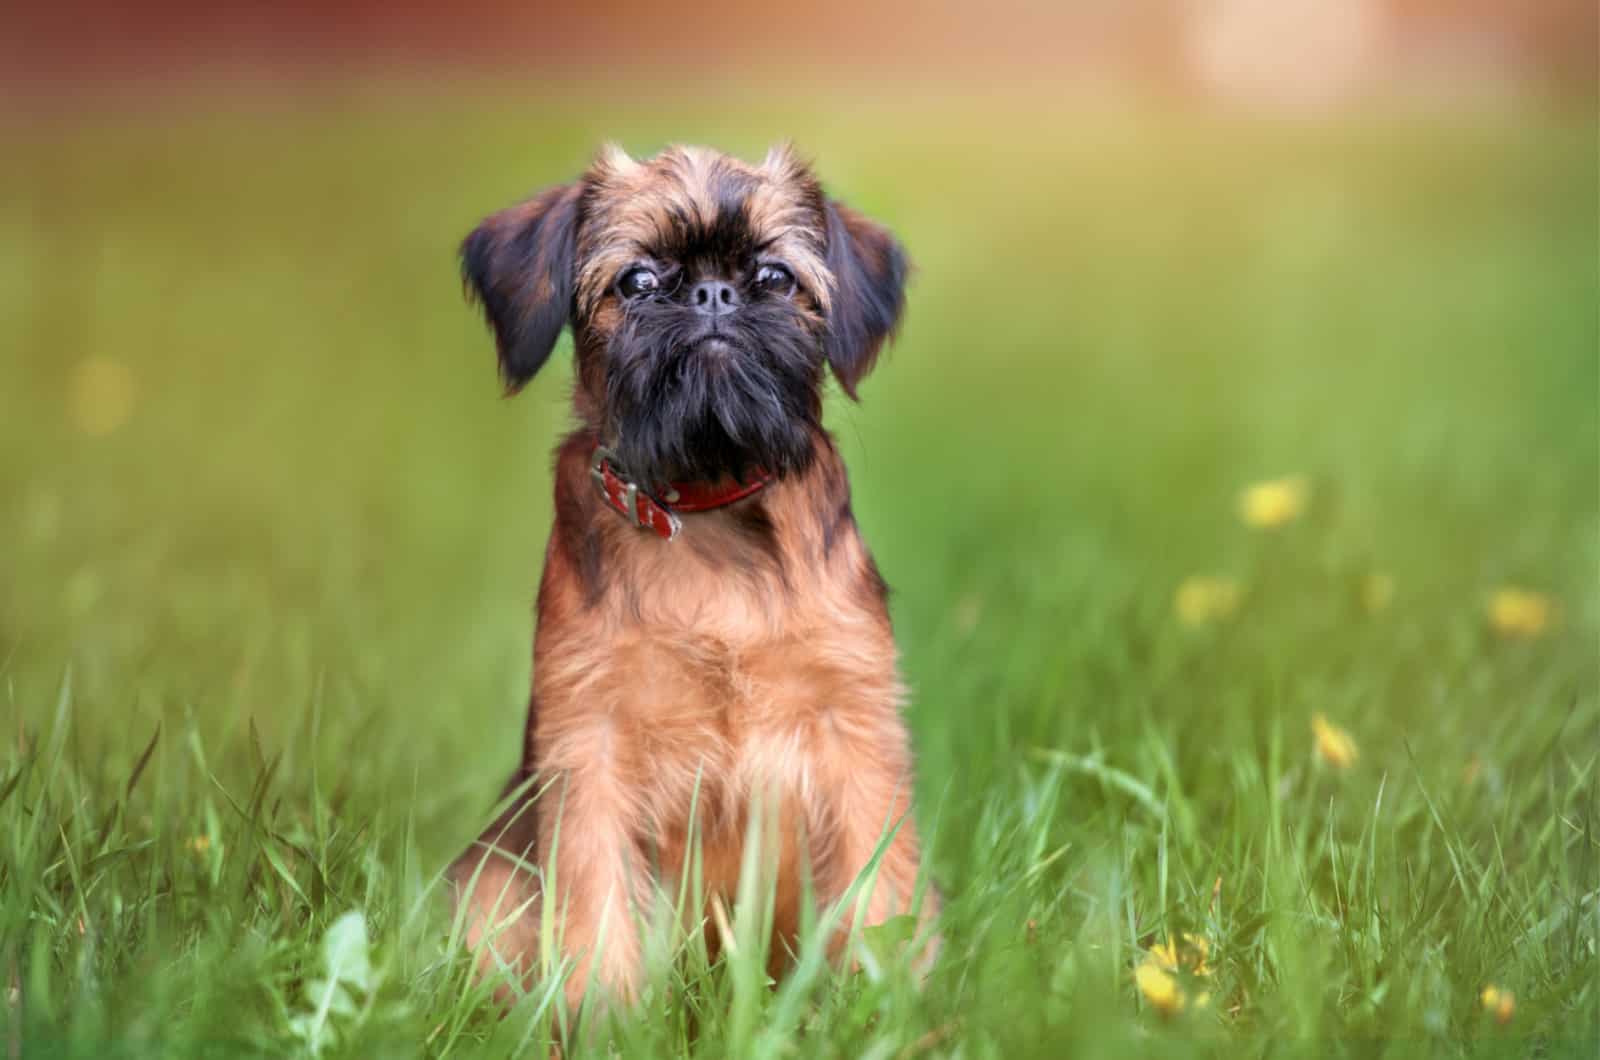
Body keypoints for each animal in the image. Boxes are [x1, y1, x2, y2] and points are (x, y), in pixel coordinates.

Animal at [448, 140, 934, 1011]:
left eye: (775, 276)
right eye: (638, 280)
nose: (712, 293)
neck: (709, 501)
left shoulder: (855, 736)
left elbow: (877, 889)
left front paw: (882, 1006)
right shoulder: (590, 750)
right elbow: (596, 901)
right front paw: (603, 1017)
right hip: (489, 879)